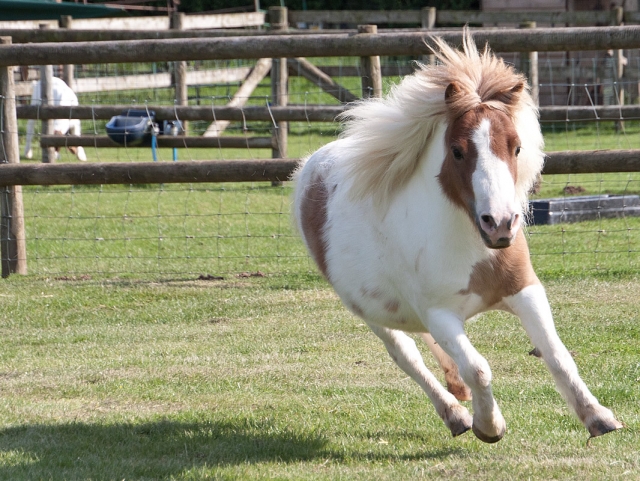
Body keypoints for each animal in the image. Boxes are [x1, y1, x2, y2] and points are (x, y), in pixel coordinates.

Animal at [292, 30, 623, 443]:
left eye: (516, 147)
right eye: (457, 150)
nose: (499, 223)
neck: (470, 250)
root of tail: (312, 166)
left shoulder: (526, 291)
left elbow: (557, 354)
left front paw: (599, 417)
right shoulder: (440, 315)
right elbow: (479, 368)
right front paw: (489, 426)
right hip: (372, 315)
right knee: (407, 356)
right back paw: (456, 416)